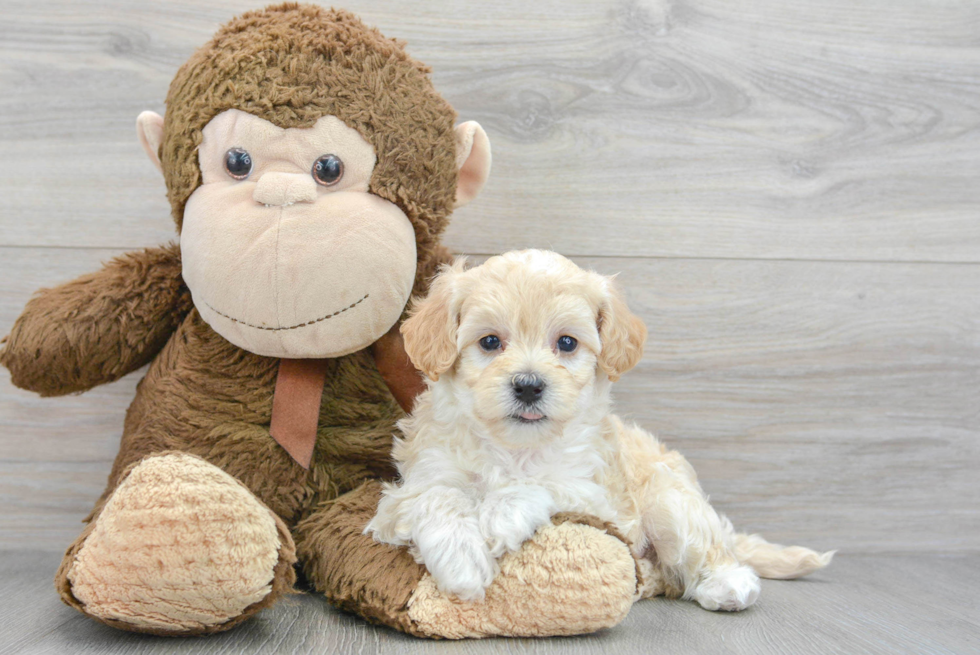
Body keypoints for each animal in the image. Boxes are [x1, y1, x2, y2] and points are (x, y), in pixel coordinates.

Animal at [368, 250, 836, 608]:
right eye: (489, 342)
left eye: (567, 343)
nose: (528, 385)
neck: (515, 447)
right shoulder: (413, 484)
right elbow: (437, 496)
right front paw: (461, 562)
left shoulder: (598, 496)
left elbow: (544, 482)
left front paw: (501, 514)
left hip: (669, 501)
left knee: (705, 551)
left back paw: (727, 585)